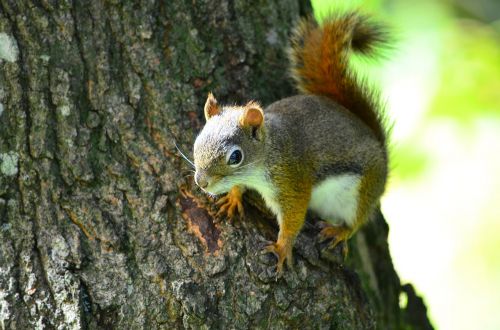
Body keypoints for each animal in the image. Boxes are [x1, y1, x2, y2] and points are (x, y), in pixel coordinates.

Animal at [191, 11, 390, 274]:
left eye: (235, 157)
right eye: (197, 143)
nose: (202, 182)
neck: (268, 152)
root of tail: (380, 148)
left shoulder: (291, 179)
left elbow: (293, 217)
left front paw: (281, 247)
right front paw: (233, 198)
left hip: (364, 189)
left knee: (356, 220)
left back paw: (339, 231)